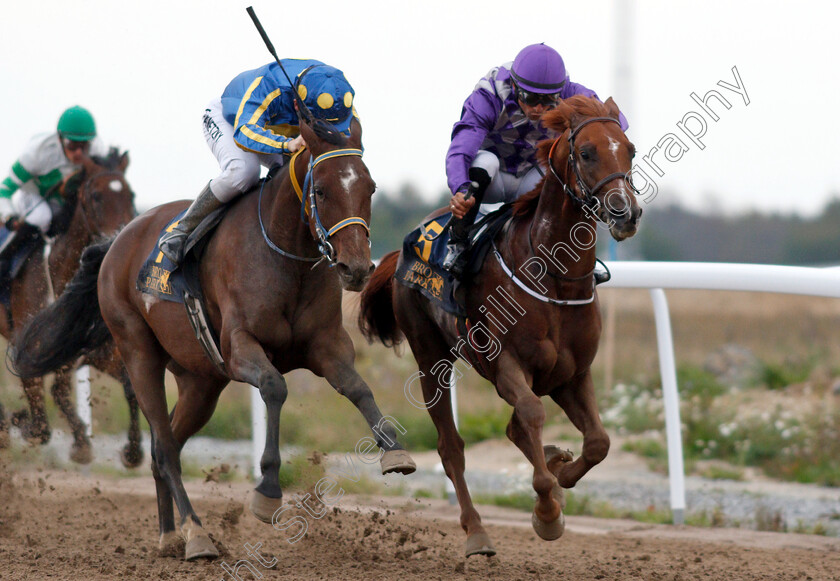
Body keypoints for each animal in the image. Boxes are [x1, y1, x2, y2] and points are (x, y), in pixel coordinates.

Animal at [0, 147, 141, 464]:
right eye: (96, 196)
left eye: (130, 194)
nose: (121, 236)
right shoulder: (27, 351)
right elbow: (42, 423)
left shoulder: (96, 353)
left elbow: (130, 386)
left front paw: (132, 451)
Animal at [358, 96, 640, 556]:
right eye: (586, 153)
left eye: (629, 150)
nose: (625, 213)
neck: (554, 275)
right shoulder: (506, 364)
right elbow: (531, 414)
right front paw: (547, 511)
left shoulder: (573, 373)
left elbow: (599, 441)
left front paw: (561, 474)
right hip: (429, 355)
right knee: (451, 446)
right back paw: (477, 531)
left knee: (513, 429)